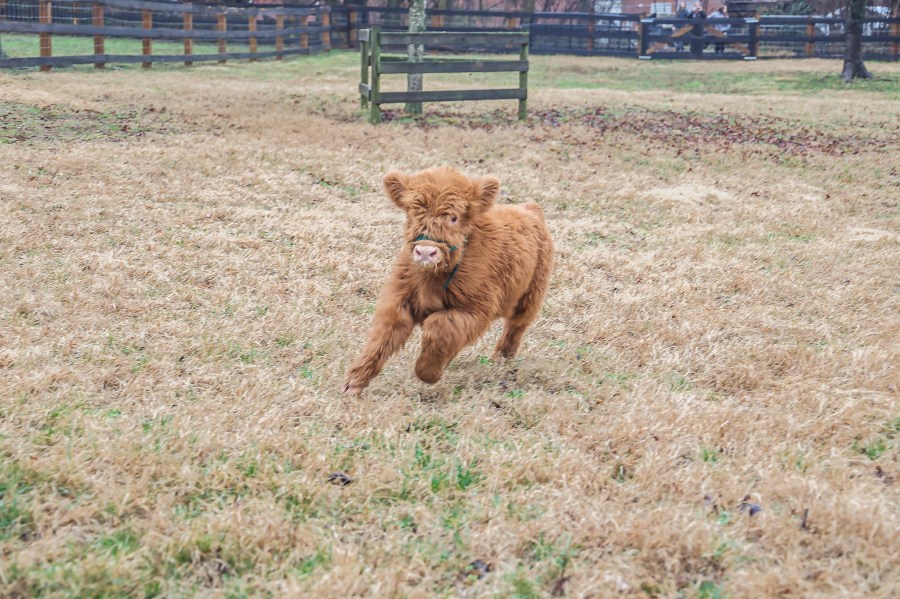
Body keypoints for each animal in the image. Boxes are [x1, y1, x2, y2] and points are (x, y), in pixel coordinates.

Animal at [344, 166, 556, 396]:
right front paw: (354, 383)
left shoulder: (476, 309)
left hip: (531, 296)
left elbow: (440, 327)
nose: (425, 251)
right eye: (413, 212)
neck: (432, 279)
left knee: (516, 326)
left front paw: (428, 373)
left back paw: (501, 358)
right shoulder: (398, 298)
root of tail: (529, 208)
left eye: (453, 218)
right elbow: (383, 336)